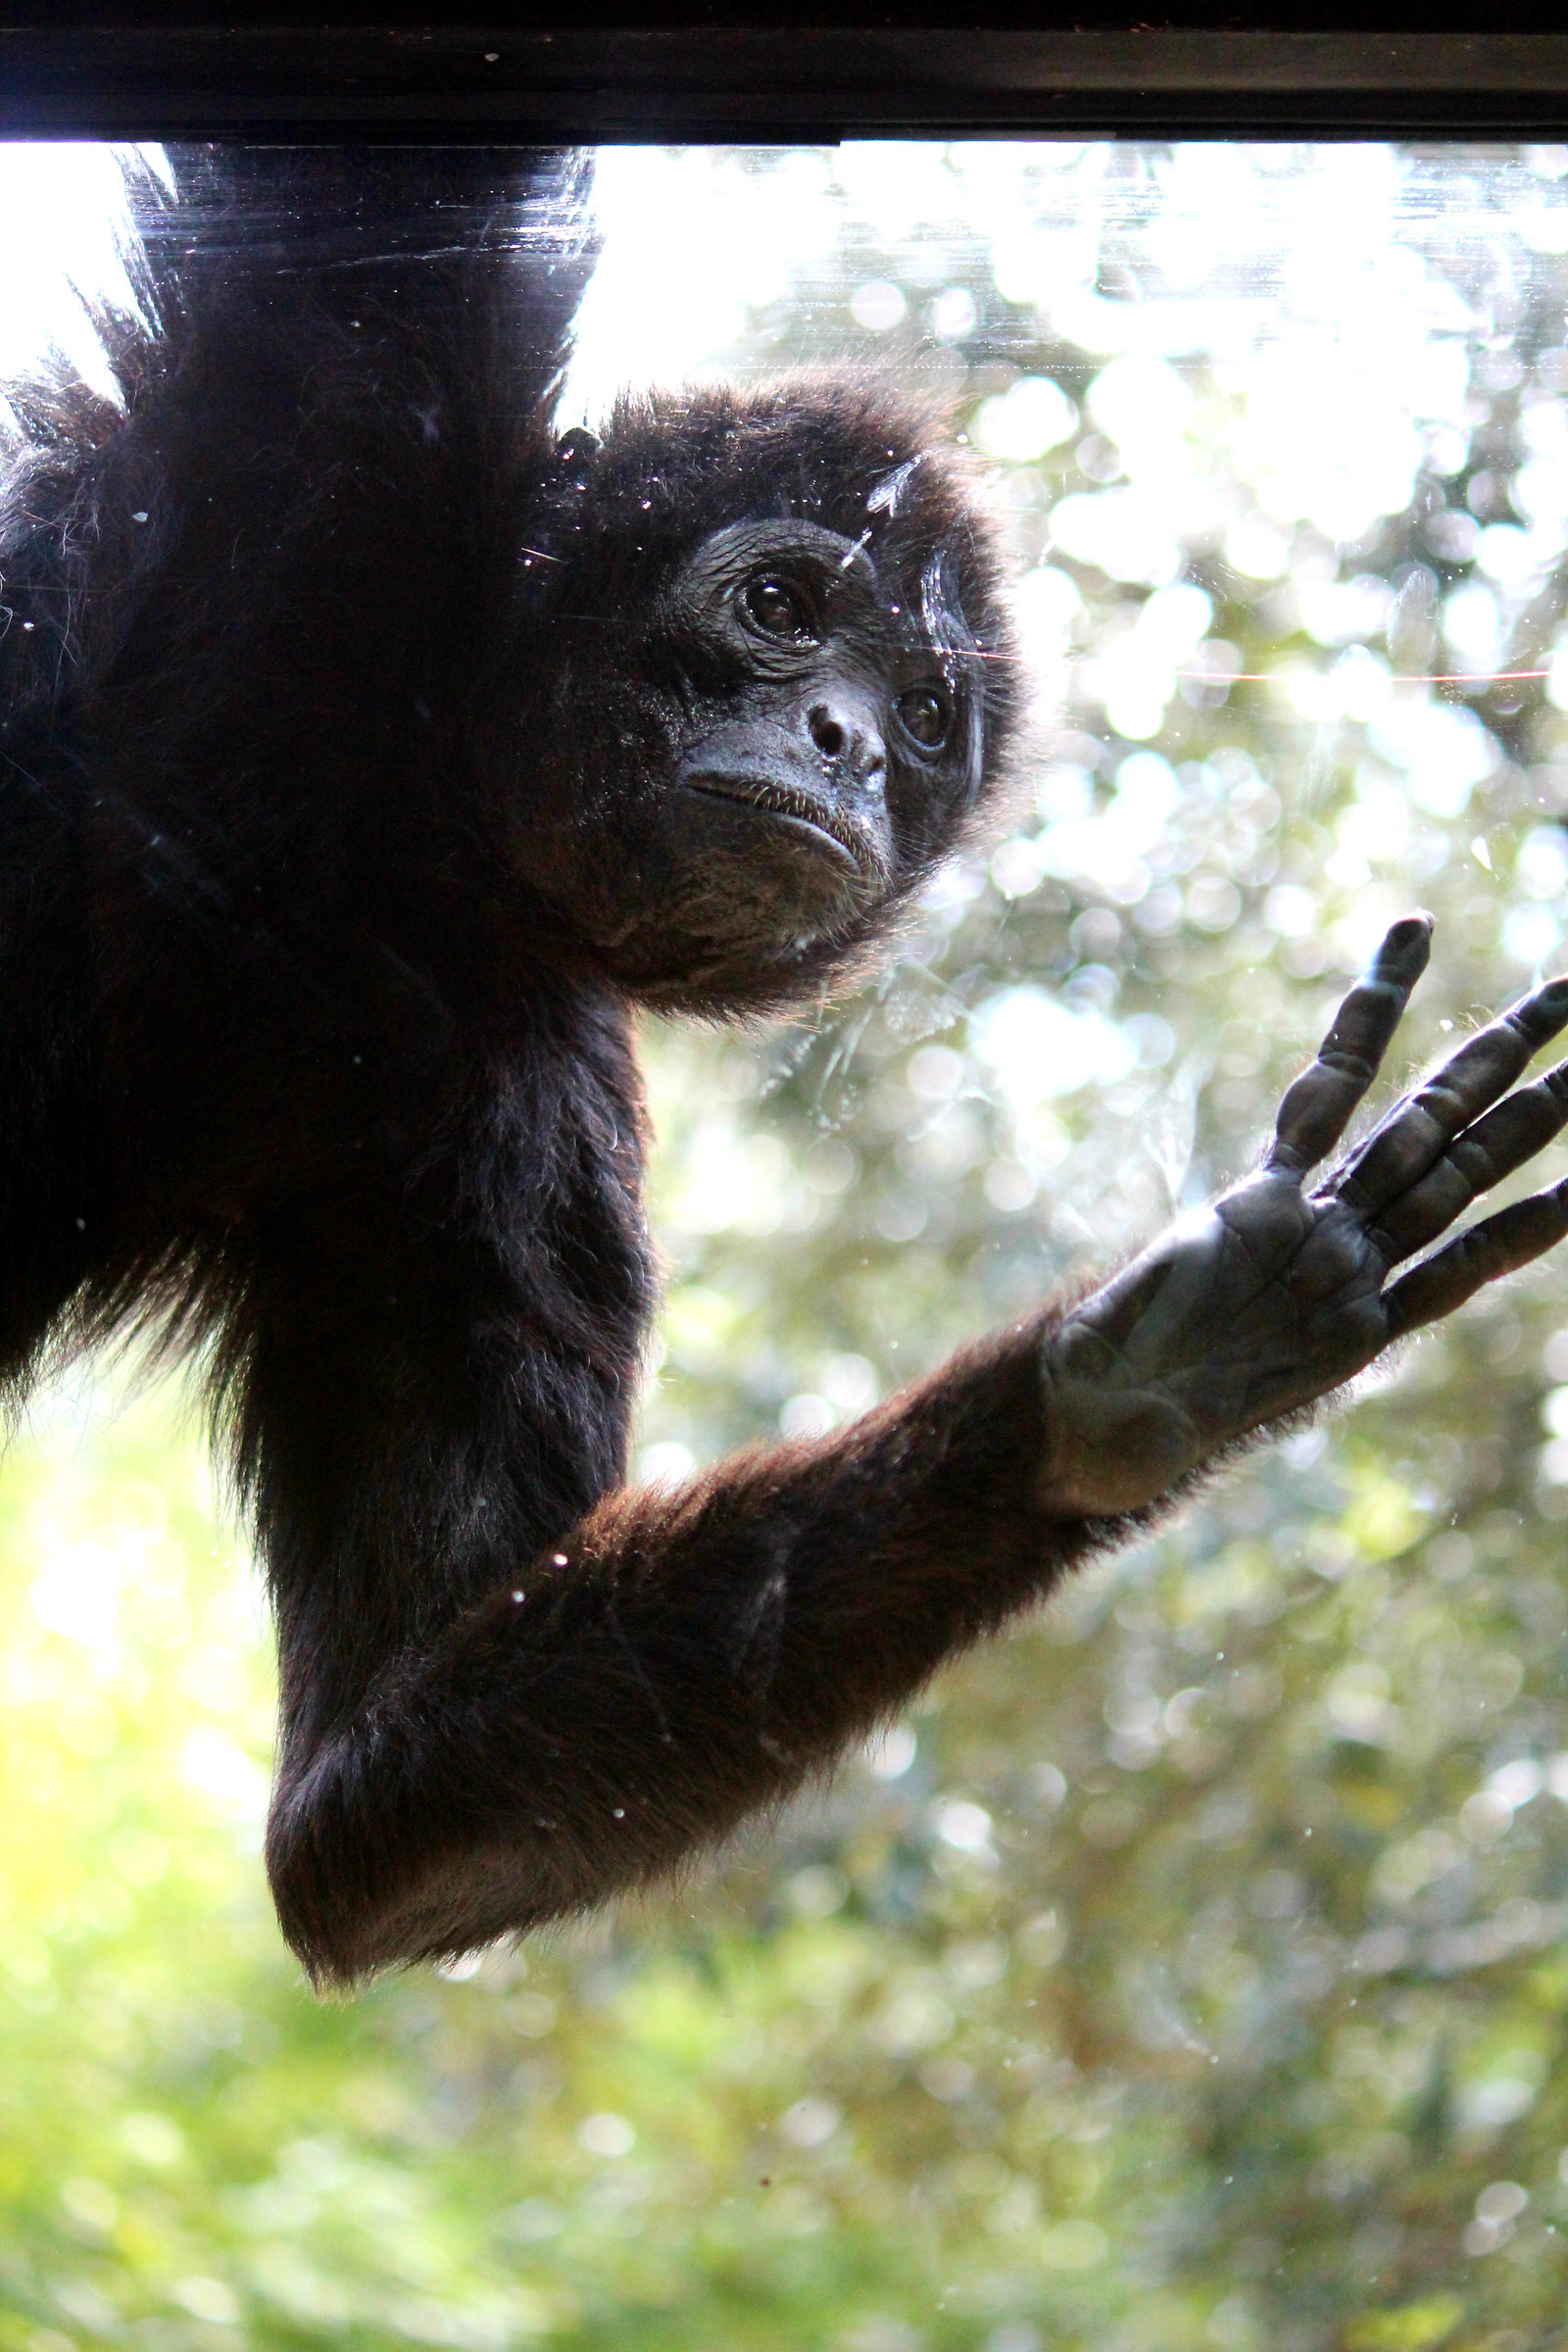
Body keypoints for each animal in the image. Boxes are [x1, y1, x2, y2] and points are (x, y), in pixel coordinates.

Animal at [3, 145, 1568, 1987]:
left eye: (923, 715)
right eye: (776, 608)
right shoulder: (334, 471)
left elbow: (371, 1814)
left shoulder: (512, 1073)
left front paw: (1159, 1367)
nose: (847, 744)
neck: (392, 840)